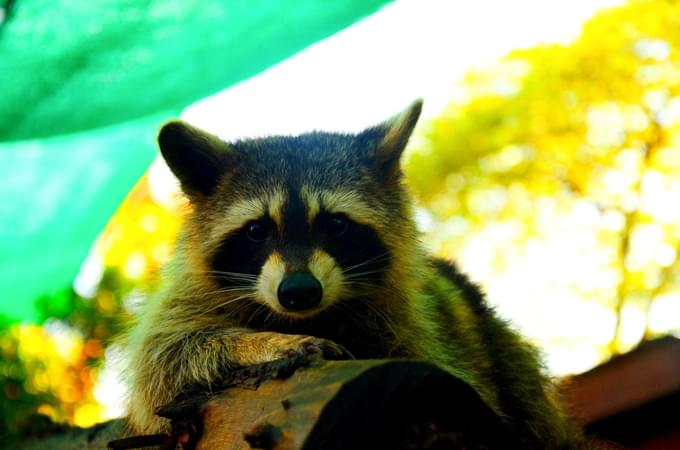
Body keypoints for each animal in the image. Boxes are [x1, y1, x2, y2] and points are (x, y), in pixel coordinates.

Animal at [125, 100, 588, 448]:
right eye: (257, 230)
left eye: (336, 225)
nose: (299, 291)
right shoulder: (186, 299)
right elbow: (164, 360)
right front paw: (264, 343)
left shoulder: (416, 322)